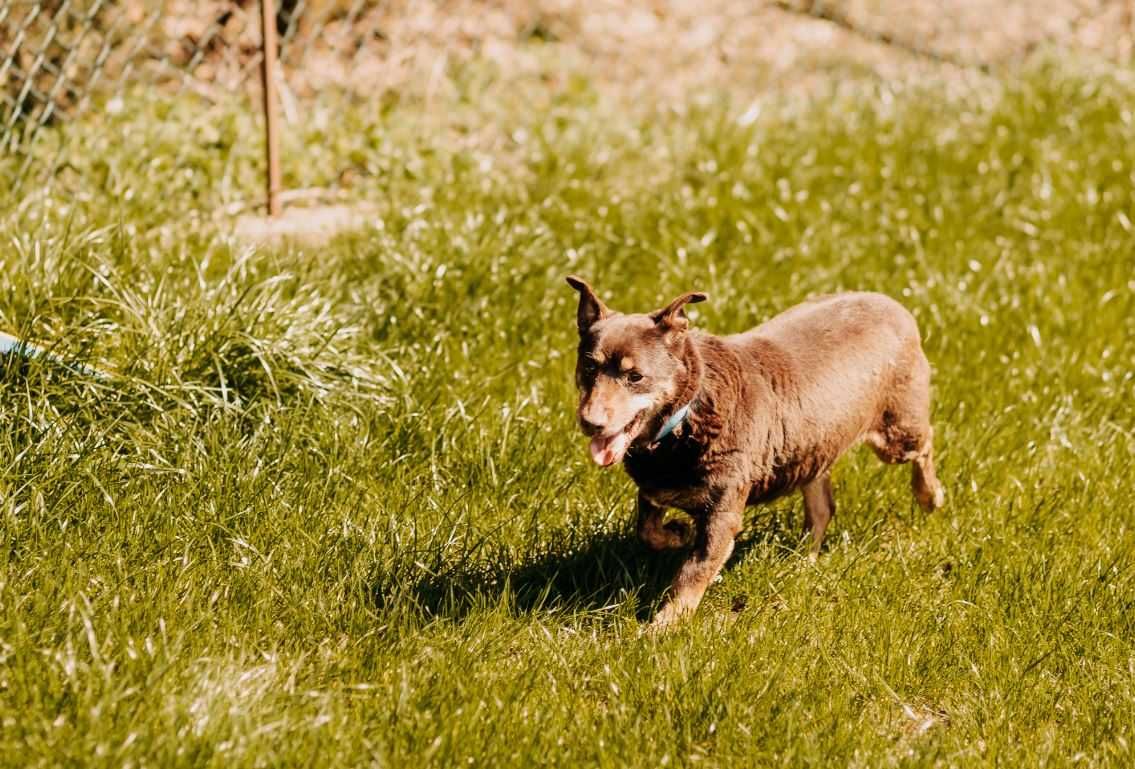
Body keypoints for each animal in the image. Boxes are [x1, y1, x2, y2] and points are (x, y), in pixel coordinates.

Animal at [562, 280, 944, 630]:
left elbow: (693, 571)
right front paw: (677, 534)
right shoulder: (653, 489)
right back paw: (802, 559)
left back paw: (930, 495)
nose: (590, 422)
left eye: (635, 376)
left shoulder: (723, 512)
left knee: (925, 444)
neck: (685, 418)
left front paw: (664, 625)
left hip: (897, 432)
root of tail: (892, 303)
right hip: (812, 446)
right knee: (822, 506)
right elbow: (648, 530)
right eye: (589, 368)